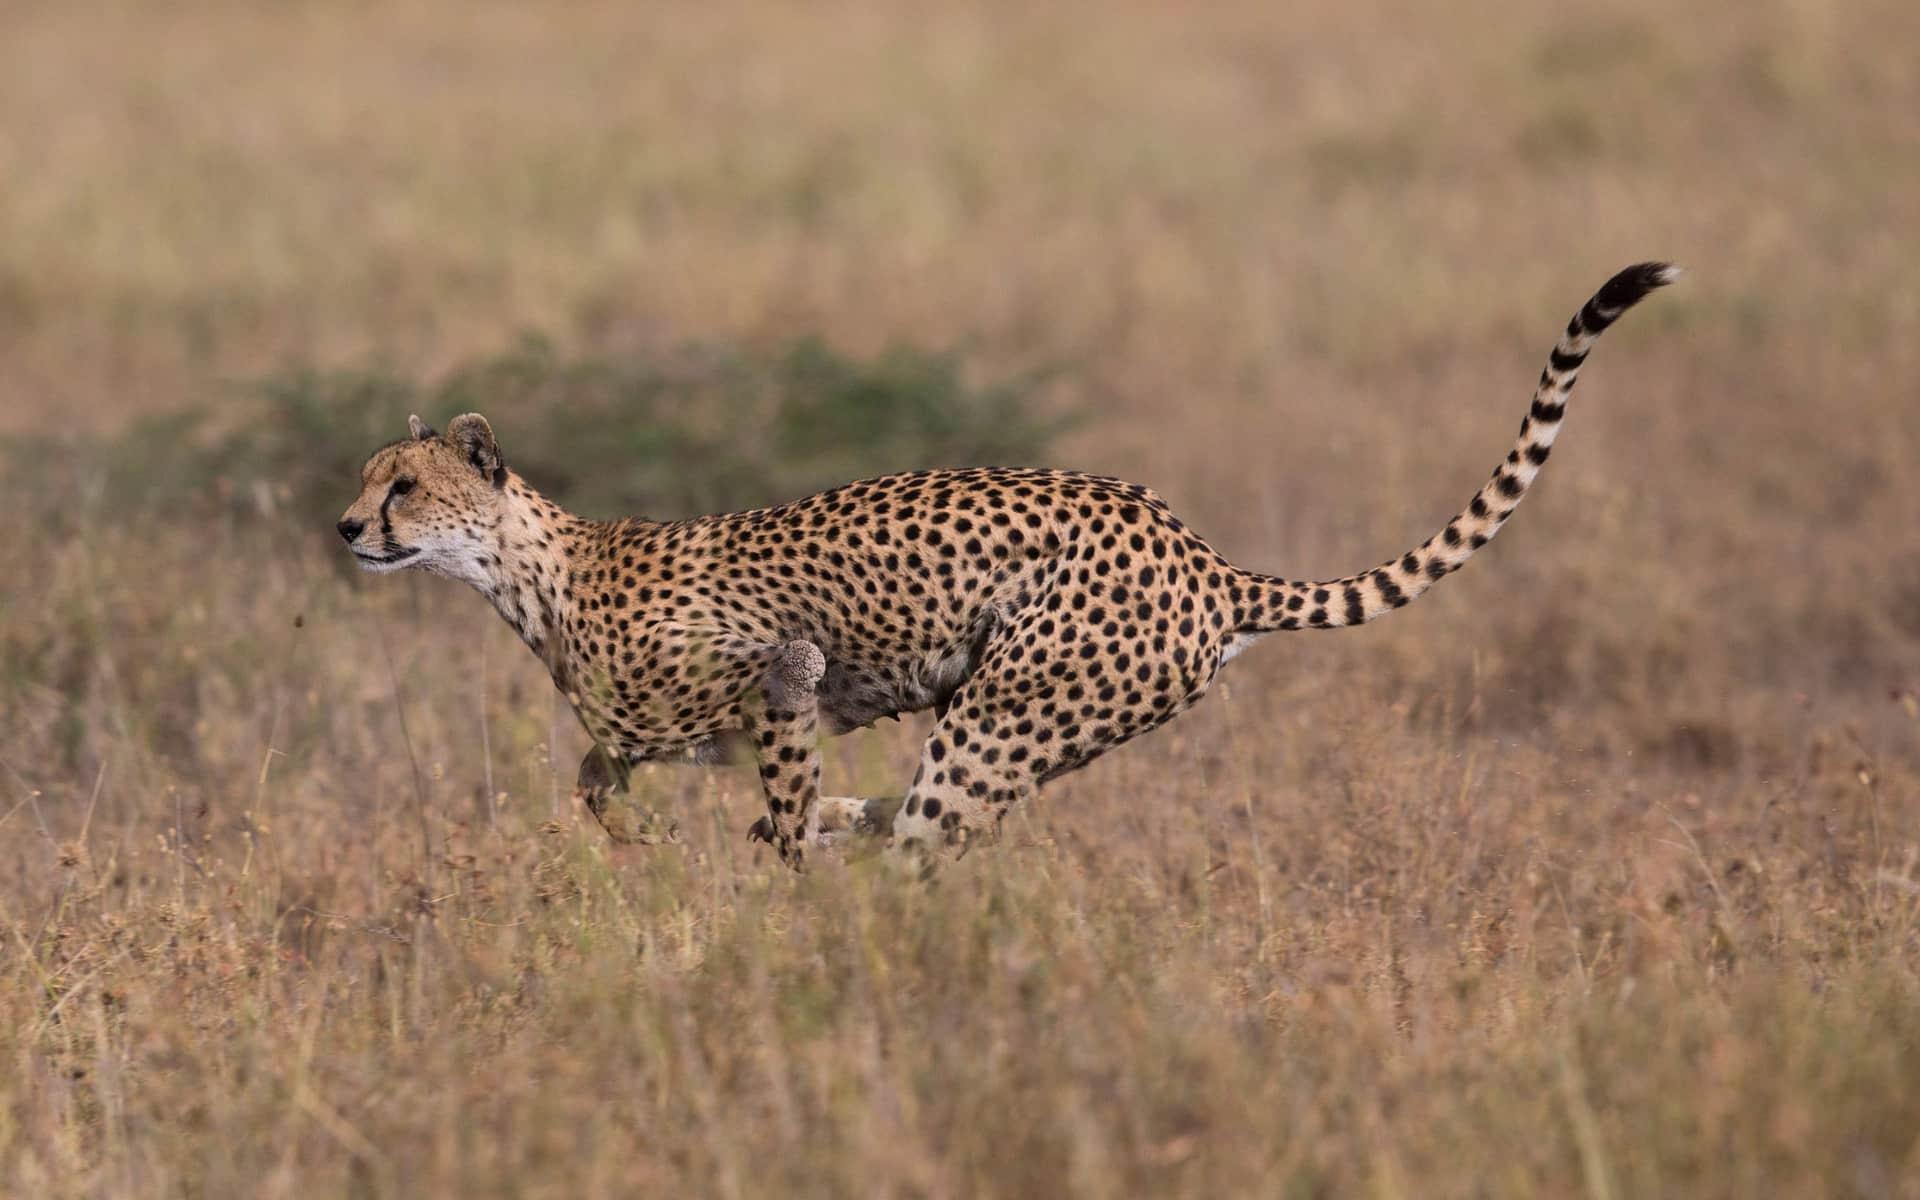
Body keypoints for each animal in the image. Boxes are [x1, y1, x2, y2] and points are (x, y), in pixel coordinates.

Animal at [337, 262, 1678, 869]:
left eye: (401, 484)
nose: (346, 528)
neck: (533, 576)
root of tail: (1204, 556)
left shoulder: (783, 671)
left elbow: (777, 802)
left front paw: (791, 853)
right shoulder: (658, 730)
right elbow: (597, 777)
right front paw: (660, 834)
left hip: (1001, 713)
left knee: (921, 848)